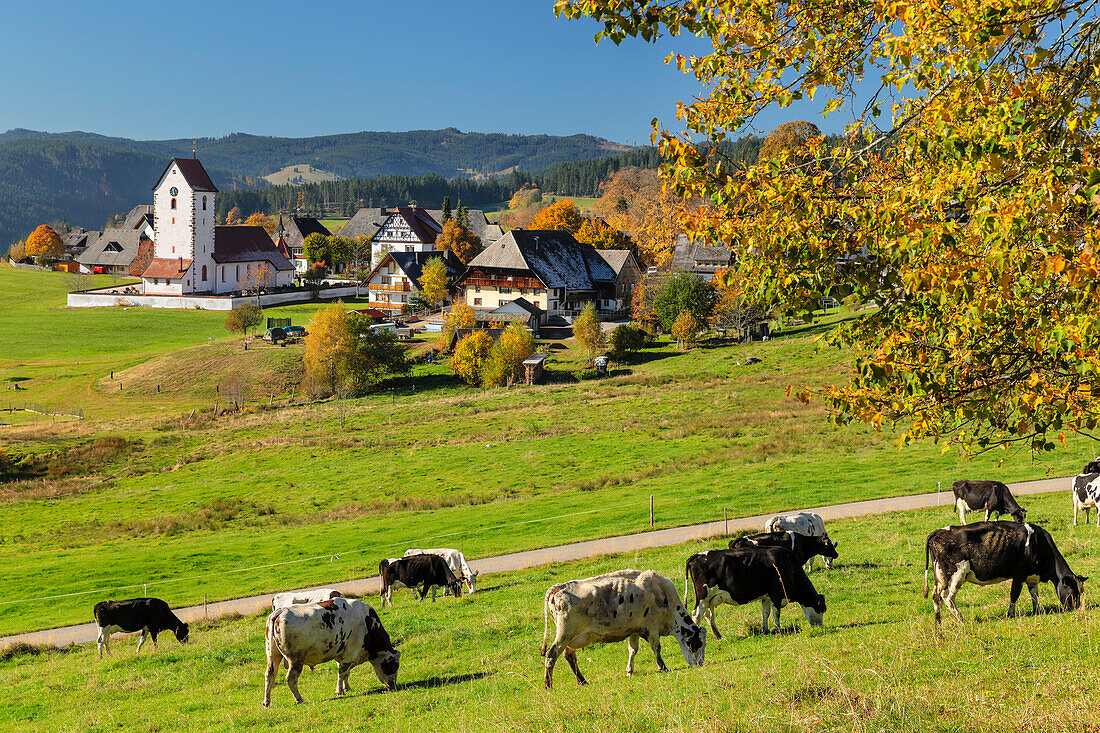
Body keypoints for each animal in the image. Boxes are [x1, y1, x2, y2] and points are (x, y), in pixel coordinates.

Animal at [261, 598, 400, 704]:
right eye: (393, 666)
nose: (393, 685)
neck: (367, 623)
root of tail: (280, 611)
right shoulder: (350, 654)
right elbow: (342, 674)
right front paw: (339, 691)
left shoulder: (342, 655)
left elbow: (346, 673)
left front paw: (346, 688)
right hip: (295, 660)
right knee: (291, 679)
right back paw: (299, 699)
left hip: (273, 655)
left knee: (270, 675)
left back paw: (267, 702)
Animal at [541, 567, 704, 686]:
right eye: (697, 643)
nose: (700, 664)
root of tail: (558, 587)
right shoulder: (652, 627)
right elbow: (656, 648)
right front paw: (662, 667)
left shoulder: (634, 629)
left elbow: (633, 649)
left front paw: (629, 670)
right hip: (565, 634)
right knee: (551, 654)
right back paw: (548, 685)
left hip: (570, 638)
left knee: (569, 656)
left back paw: (582, 681)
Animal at [686, 545, 827, 638]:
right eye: (821, 609)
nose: (820, 627)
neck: (787, 563)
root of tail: (697, 556)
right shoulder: (776, 594)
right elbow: (776, 614)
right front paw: (779, 630)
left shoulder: (767, 596)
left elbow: (766, 613)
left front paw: (766, 630)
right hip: (703, 596)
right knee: (696, 615)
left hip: (710, 599)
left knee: (708, 615)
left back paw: (719, 636)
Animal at [924, 519, 1086, 620]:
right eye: (1072, 591)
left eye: (1080, 591)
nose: (1076, 608)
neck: (1038, 543)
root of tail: (938, 532)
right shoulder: (1019, 575)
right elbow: (1014, 594)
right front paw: (1010, 614)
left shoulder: (1032, 577)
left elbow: (1034, 594)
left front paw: (1037, 610)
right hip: (955, 575)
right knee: (947, 597)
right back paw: (960, 619)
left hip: (939, 576)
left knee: (936, 596)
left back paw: (938, 621)